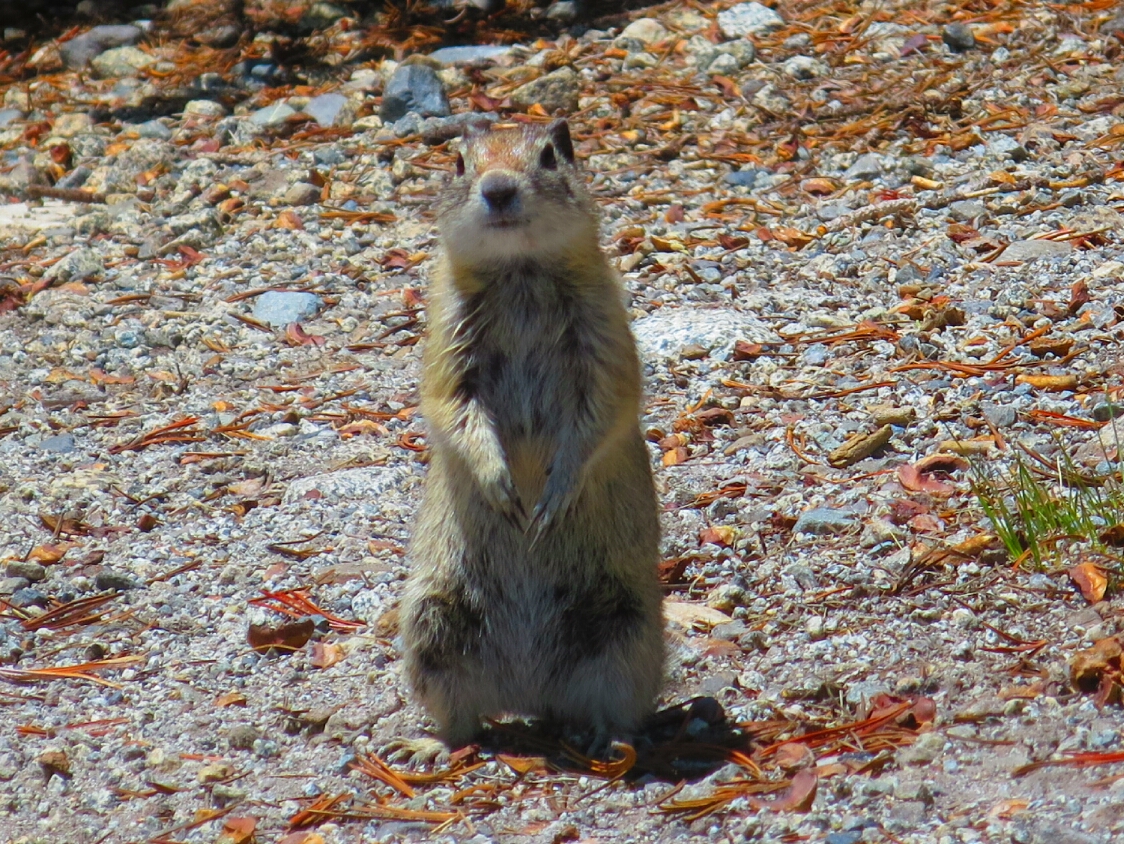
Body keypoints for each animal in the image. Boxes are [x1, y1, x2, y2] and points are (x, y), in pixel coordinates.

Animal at [399, 119, 664, 751]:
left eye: (549, 155)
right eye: (458, 163)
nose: (498, 189)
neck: (519, 271)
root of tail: (529, 696)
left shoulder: (604, 334)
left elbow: (602, 408)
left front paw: (551, 501)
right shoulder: (448, 339)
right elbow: (453, 407)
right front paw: (502, 488)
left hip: (628, 627)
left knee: (615, 704)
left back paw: (606, 739)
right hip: (431, 624)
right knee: (462, 719)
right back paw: (433, 745)